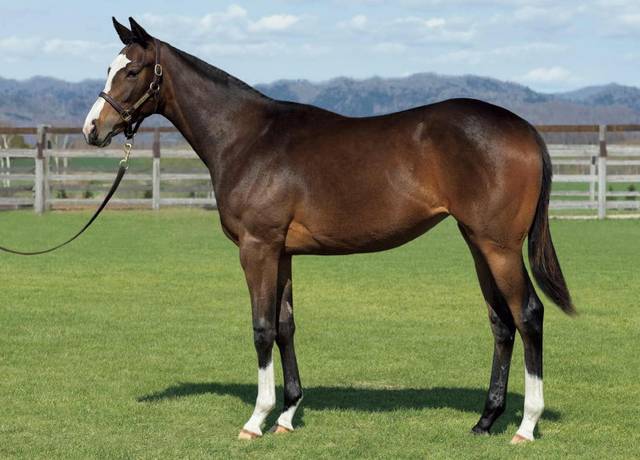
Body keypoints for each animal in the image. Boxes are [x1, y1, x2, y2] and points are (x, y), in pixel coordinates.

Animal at [83, 17, 575, 444]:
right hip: (477, 242)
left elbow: (262, 327)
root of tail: (525, 130)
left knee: (528, 314)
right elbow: (285, 326)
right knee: (501, 322)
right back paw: (486, 420)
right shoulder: (282, 252)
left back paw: (526, 425)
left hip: (500, 247)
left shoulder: (257, 247)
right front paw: (286, 415)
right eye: (108, 68)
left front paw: (256, 419)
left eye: (131, 70)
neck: (248, 138)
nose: (93, 129)